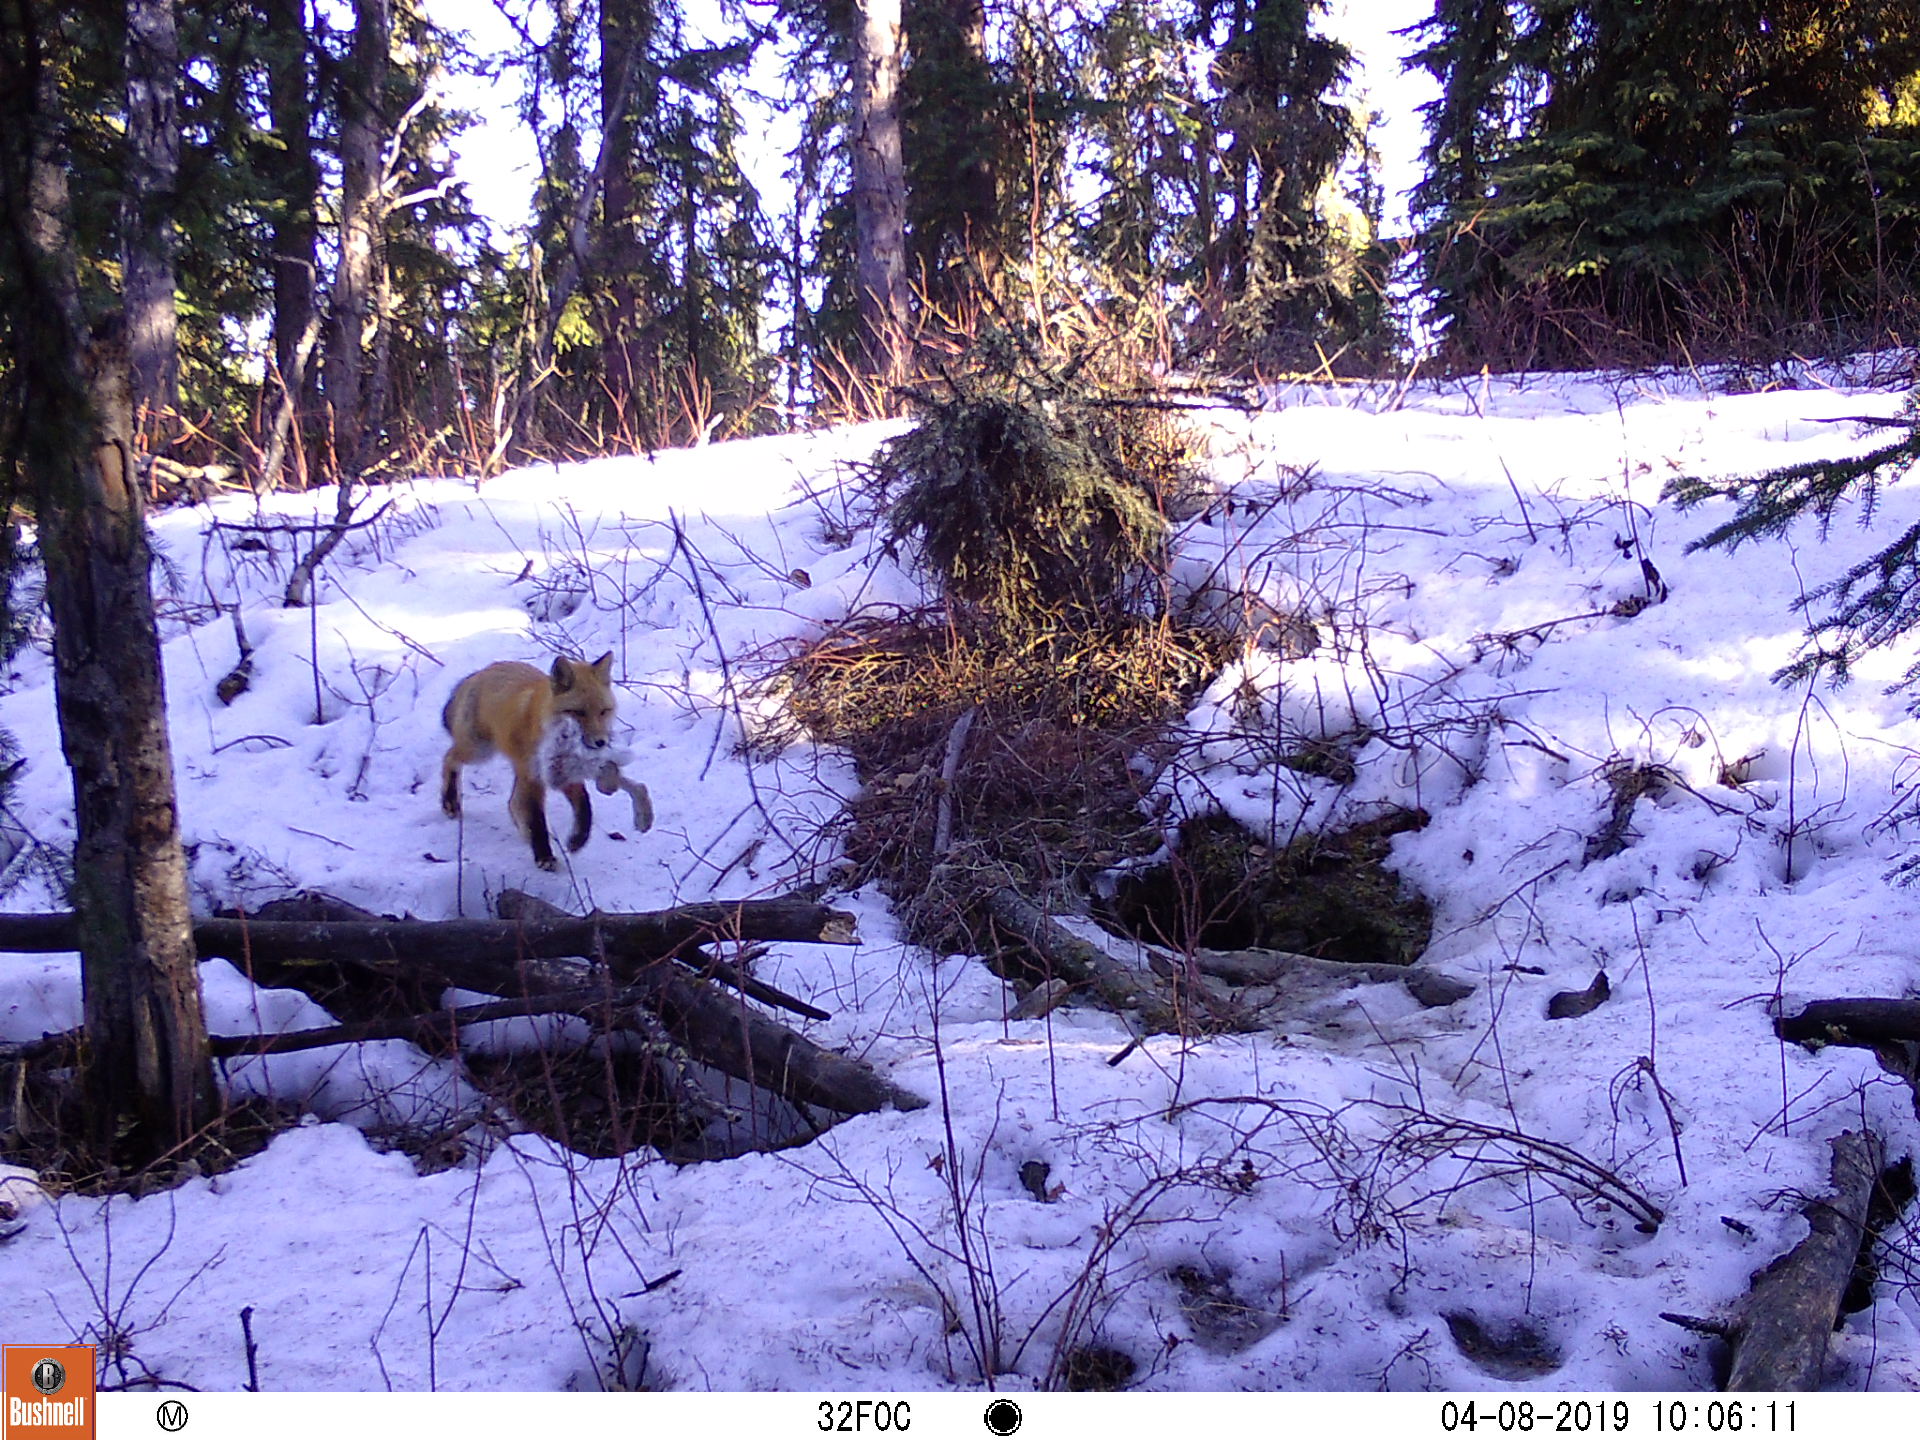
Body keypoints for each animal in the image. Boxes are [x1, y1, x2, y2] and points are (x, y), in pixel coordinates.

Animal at [440, 651, 618, 871]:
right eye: (578, 712)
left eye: (603, 711)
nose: (601, 742)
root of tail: (480, 672)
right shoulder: (533, 778)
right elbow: (537, 819)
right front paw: (544, 856)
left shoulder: (565, 774)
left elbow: (585, 808)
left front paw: (578, 839)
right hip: (480, 750)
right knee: (449, 758)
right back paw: (450, 801)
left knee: (512, 802)